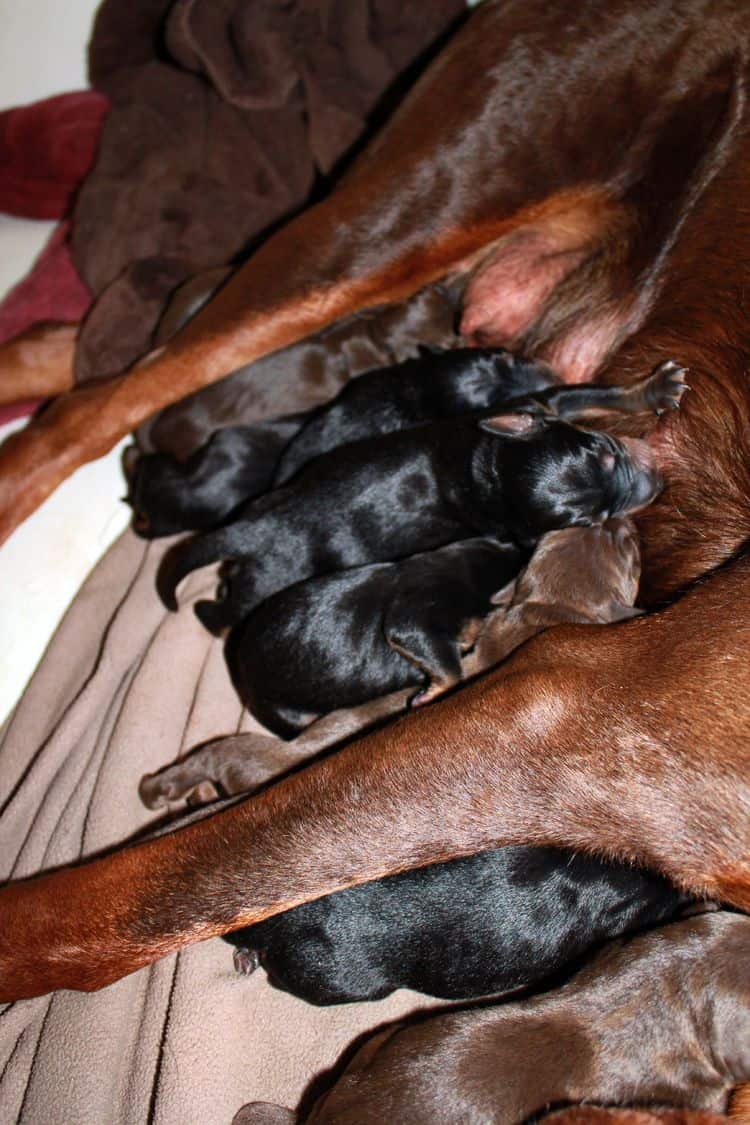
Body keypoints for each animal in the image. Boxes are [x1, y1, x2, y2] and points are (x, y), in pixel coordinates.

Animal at [159, 407, 661, 634]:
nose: (656, 482)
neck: (489, 466)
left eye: (604, 450)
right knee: (218, 616)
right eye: (594, 518)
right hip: (258, 589)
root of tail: (255, 529)